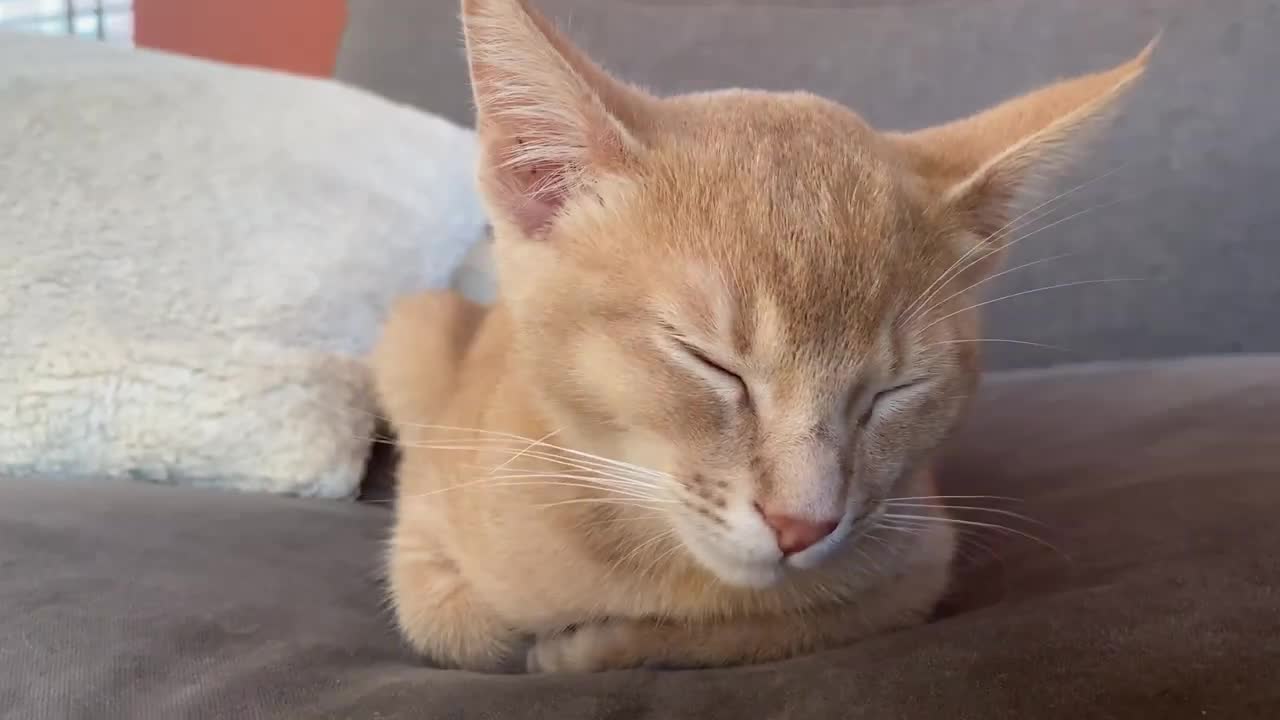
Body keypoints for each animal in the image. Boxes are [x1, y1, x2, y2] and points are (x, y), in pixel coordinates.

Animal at [368, 0, 1152, 671]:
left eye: (894, 391)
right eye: (711, 363)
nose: (803, 525)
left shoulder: (917, 560)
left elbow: (777, 624)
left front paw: (597, 643)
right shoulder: (429, 504)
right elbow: (459, 627)